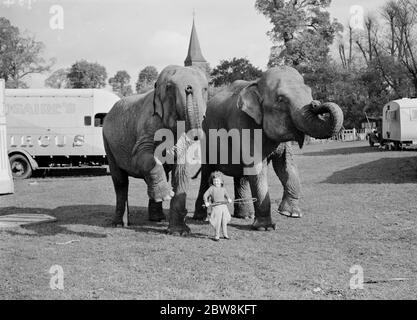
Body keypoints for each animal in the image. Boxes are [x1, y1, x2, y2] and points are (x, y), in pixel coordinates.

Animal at [103, 65, 207, 235]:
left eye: (205, 89)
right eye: (170, 87)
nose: (189, 88)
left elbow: (181, 171)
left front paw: (179, 232)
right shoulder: (148, 124)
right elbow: (141, 156)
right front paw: (166, 195)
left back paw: (157, 219)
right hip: (108, 143)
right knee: (120, 181)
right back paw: (119, 224)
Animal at [193, 66, 342, 230]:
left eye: (309, 91)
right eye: (281, 99)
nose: (315, 103)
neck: (257, 83)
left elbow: (286, 165)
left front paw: (291, 214)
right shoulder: (242, 123)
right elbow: (257, 168)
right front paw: (265, 227)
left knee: (241, 175)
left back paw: (246, 216)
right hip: (206, 141)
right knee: (207, 173)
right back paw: (200, 218)